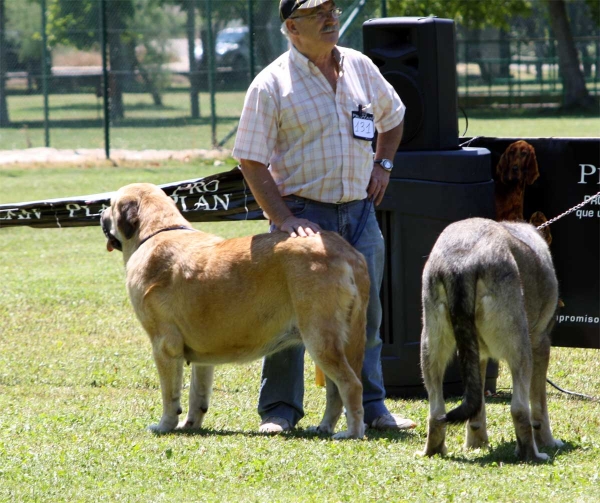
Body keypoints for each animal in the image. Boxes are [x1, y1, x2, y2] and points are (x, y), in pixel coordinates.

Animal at [101, 183, 368, 440]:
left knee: (351, 385)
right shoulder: (202, 354)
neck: (156, 232)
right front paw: (190, 424)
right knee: (336, 391)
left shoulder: (164, 346)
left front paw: (165, 425)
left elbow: (170, 394)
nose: (101, 213)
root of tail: (347, 252)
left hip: (319, 338)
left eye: (111, 204)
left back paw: (352, 432)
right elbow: (197, 393)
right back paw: (324, 427)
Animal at [420, 219, 564, 462]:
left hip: (430, 350)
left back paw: (434, 451)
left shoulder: (477, 357)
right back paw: (532, 455)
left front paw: (476, 444)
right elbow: (540, 409)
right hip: (522, 351)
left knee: (436, 413)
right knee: (519, 409)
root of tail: (463, 261)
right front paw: (549, 441)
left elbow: (477, 414)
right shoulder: (541, 345)